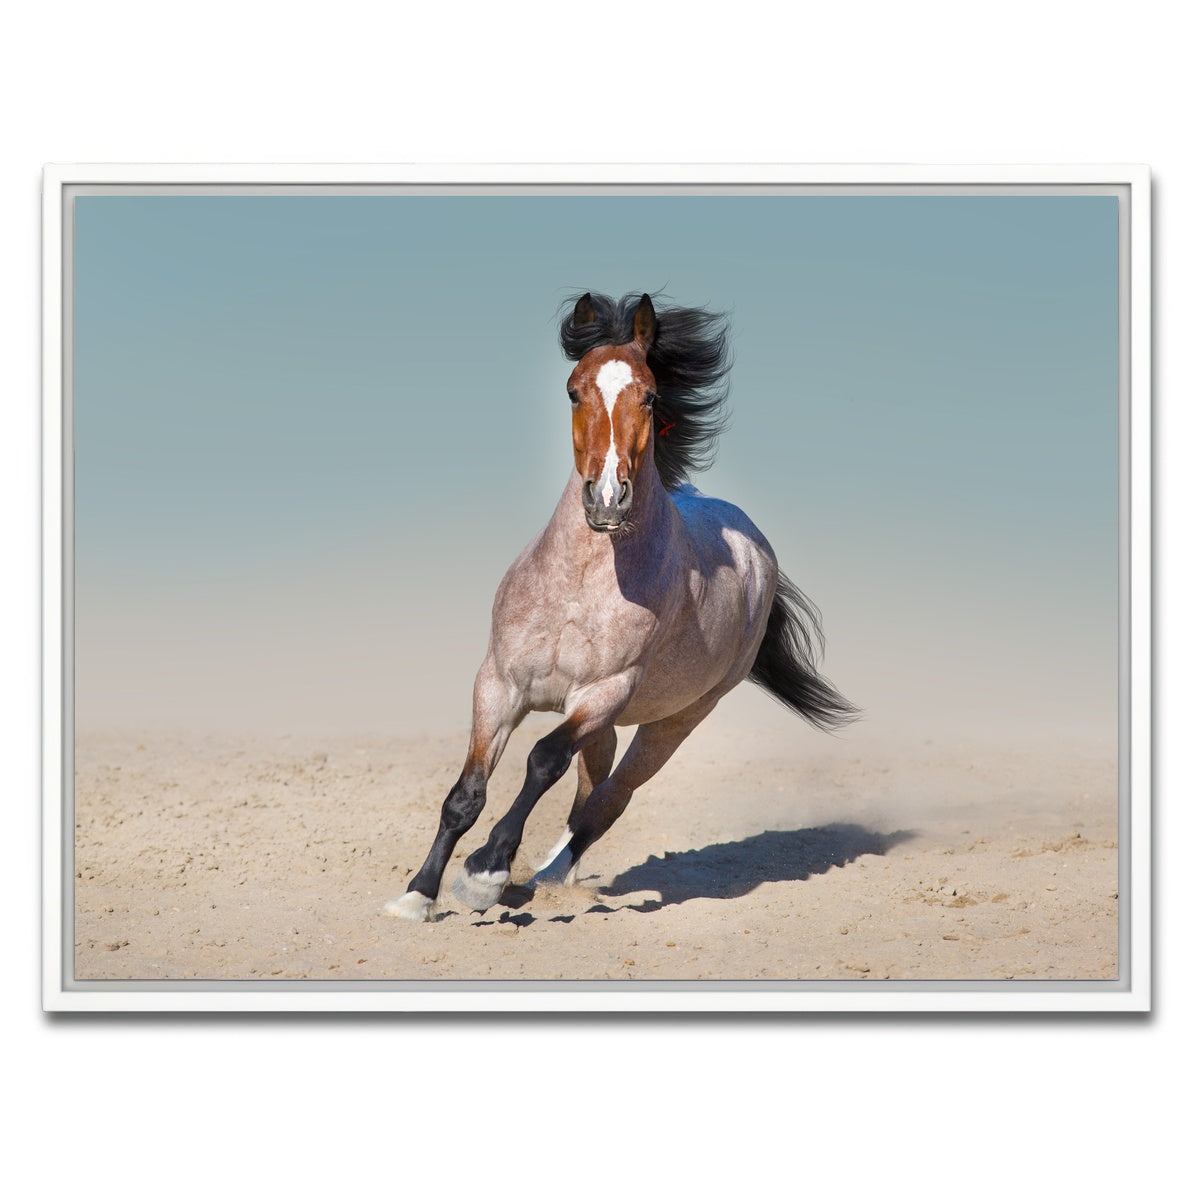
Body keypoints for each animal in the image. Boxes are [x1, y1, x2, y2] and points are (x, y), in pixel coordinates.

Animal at [384, 291, 856, 922]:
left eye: (650, 395)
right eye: (573, 390)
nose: (607, 498)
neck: (579, 587)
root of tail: (757, 548)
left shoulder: (603, 693)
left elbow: (542, 761)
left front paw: (484, 873)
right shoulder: (499, 685)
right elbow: (466, 794)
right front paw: (418, 895)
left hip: (675, 720)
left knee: (609, 800)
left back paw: (542, 877)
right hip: (605, 726)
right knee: (590, 793)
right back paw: (541, 878)